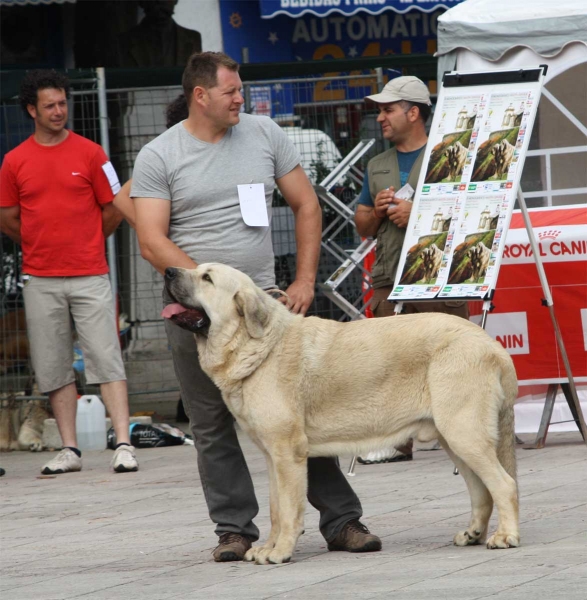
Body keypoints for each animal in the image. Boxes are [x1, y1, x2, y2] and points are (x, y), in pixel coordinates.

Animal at [163, 262, 520, 564]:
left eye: (206, 278)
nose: (167, 271)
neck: (256, 345)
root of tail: (492, 345)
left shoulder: (287, 453)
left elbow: (289, 509)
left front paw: (280, 552)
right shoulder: (272, 456)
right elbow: (276, 509)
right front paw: (267, 547)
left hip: (463, 434)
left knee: (504, 484)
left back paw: (506, 536)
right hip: (454, 438)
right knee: (481, 490)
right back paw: (473, 533)